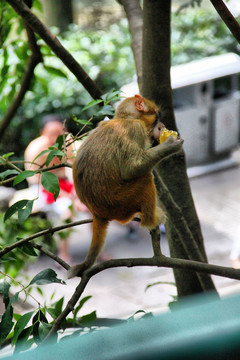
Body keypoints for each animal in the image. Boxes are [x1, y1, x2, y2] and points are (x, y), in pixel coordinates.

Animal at [68, 94, 183, 278]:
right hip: (121, 201)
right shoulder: (134, 129)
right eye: (157, 117)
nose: (163, 126)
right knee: (145, 178)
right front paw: (170, 145)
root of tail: (97, 212)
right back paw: (151, 220)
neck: (125, 118)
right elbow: (132, 169)